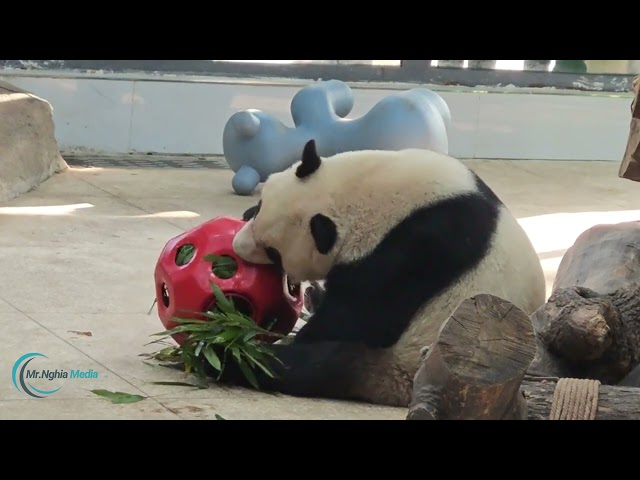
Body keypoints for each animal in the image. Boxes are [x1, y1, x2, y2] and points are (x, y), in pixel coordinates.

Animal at [220, 140, 544, 408]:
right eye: (260, 205)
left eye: (274, 252)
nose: (237, 246)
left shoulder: (421, 246)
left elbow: (362, 314)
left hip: (407, 357)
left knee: (315, 365)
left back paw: (228, 355)